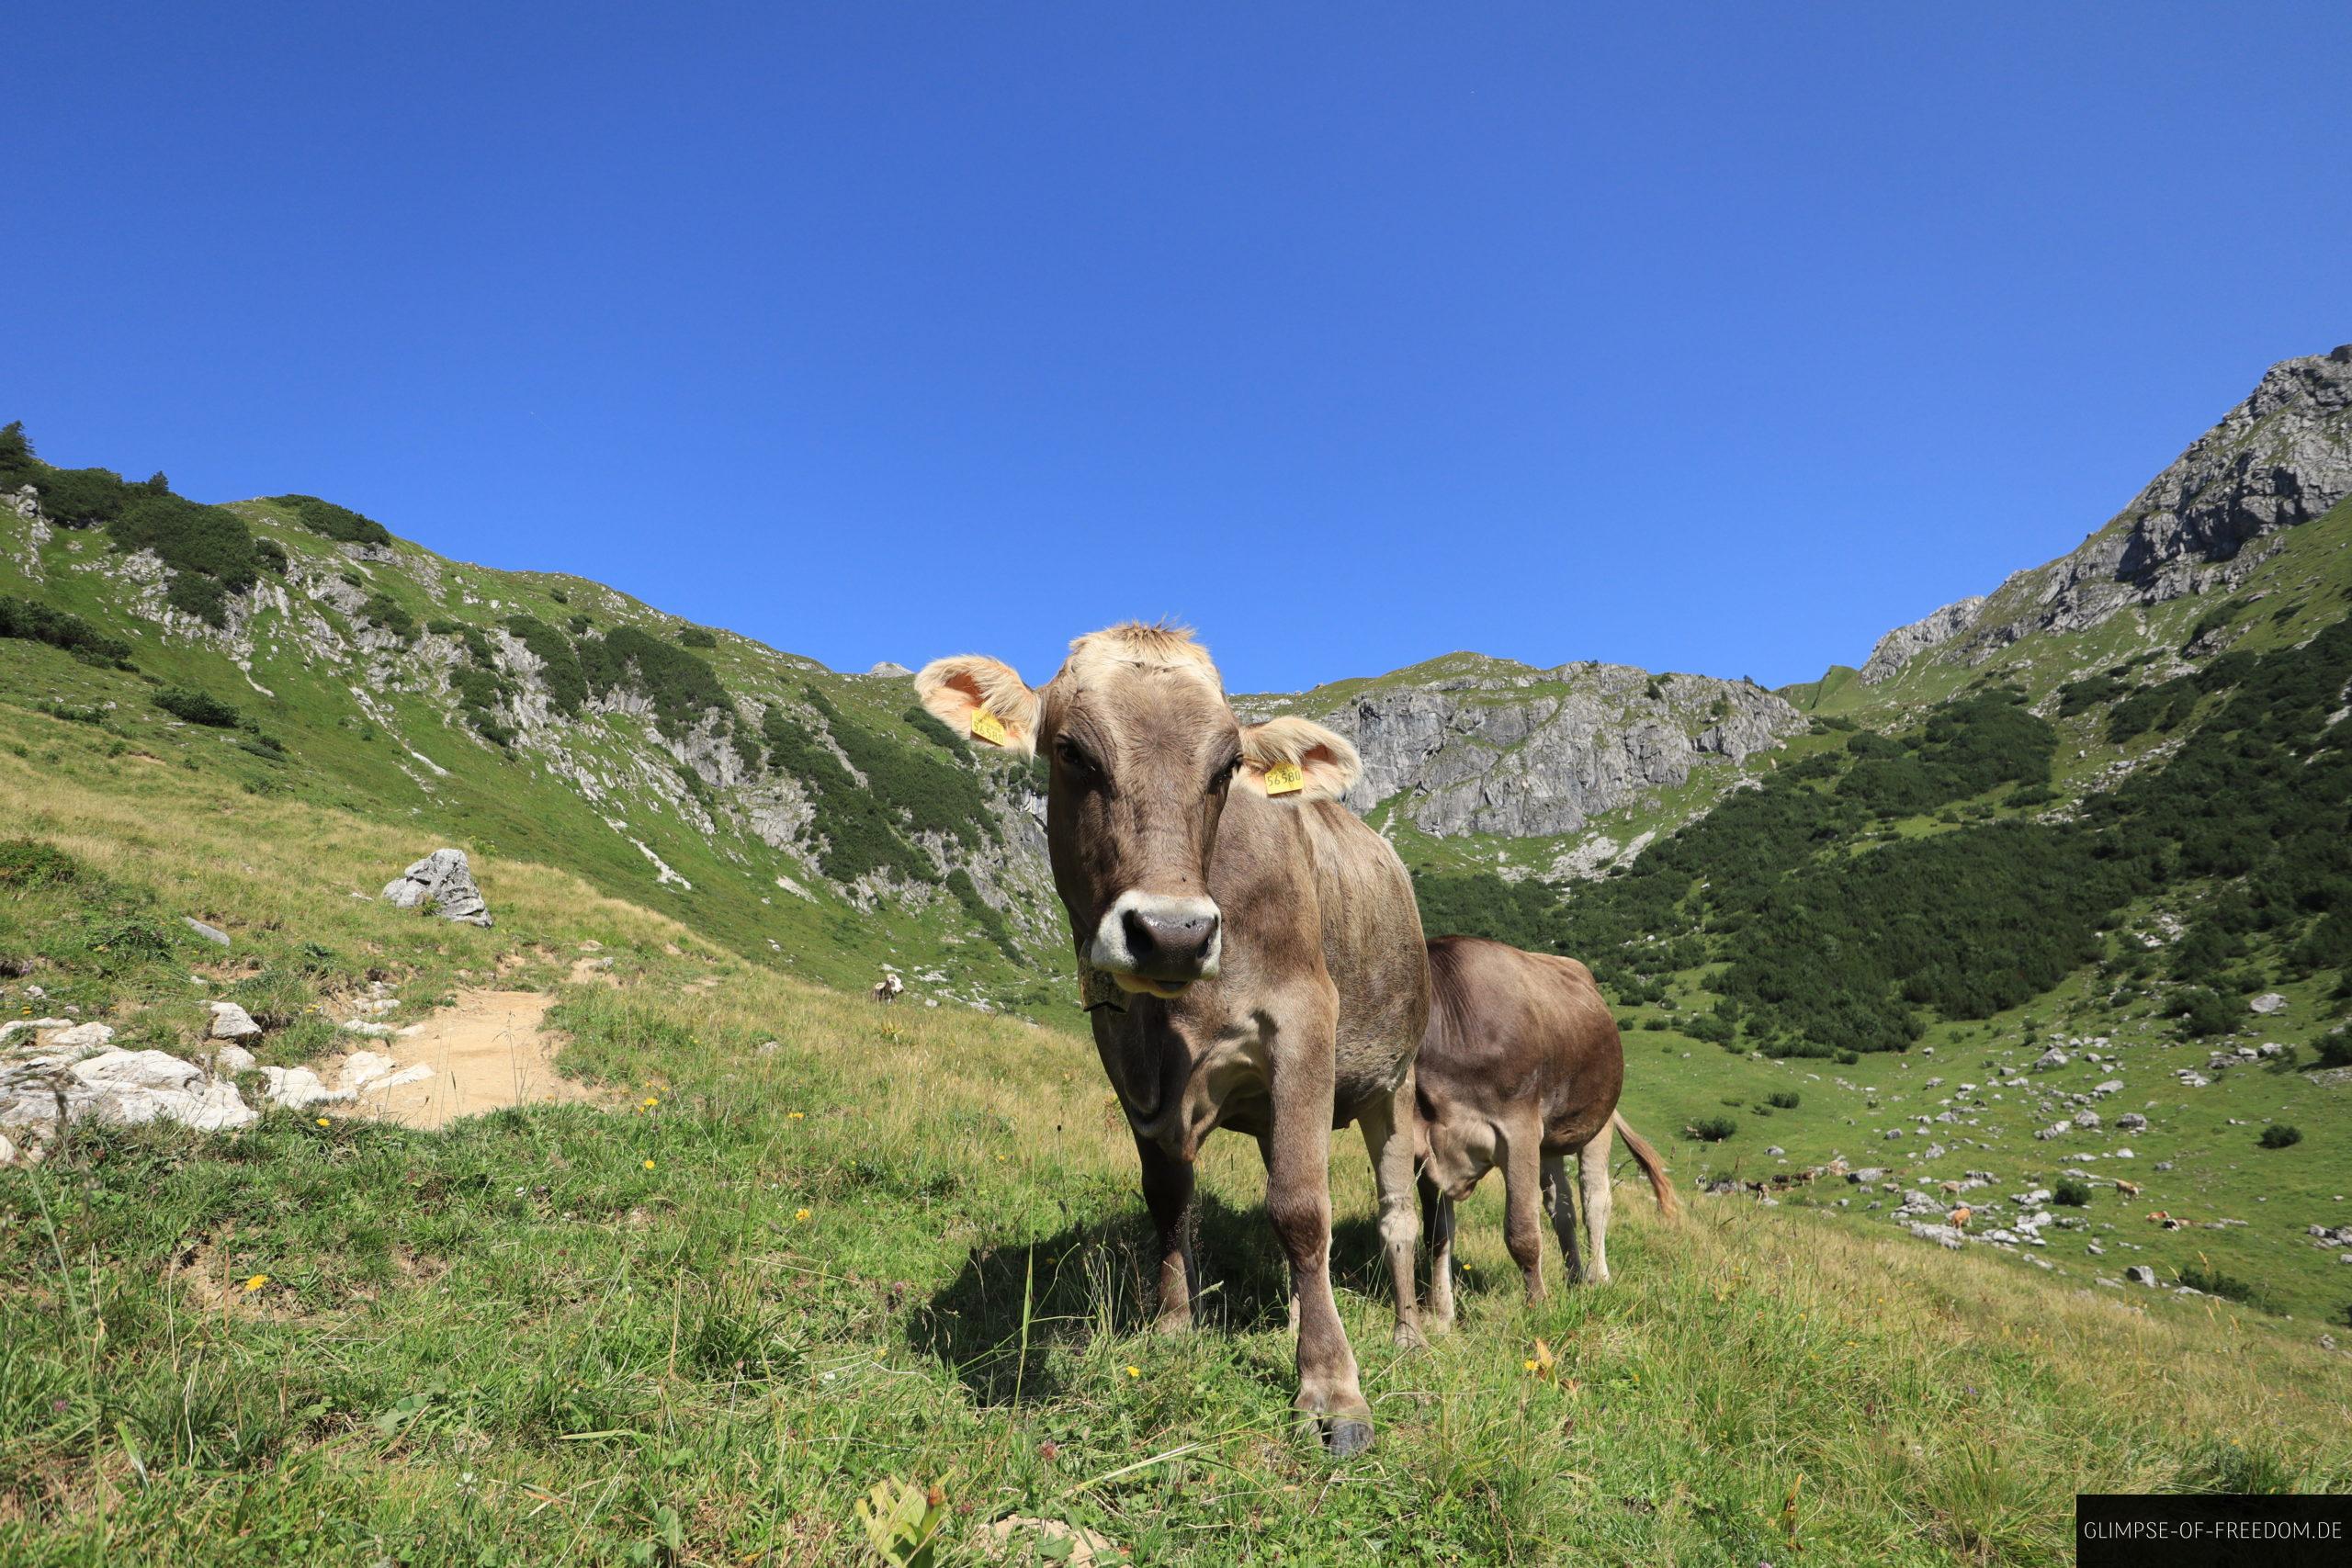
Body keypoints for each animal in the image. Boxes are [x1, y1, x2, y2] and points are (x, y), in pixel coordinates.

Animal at [918, 625, 1430, 1457]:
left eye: (1227, 767)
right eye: (1072, 752)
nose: (1173, 933)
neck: (1175, 1019)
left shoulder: (1305, 1020)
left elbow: (1301, 1207)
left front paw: (1331, 1387)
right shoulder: (1123, 1048)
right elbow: (1170, 1197)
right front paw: (1174, 1323)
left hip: (1395, 1079)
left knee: (1395, 1213)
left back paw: (1410, 1331)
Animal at [1412, 935, 1678, 1322]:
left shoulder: (1518, 1129)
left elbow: (1521, 1232)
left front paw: (1537, 1306)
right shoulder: (1424, 1148)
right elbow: (1437, 1234)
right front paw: (1440, 1316)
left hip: (1598, 1120)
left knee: (1595, 1199)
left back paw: (1598, 1279)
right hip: (1549, 1140)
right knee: (1561, 1207)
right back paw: (1574, 1277)